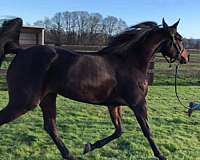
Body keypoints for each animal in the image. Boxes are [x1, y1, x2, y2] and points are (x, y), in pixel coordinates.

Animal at [0, 18, 189, 159]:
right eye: (179, 38)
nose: (185, 58)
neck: (129, 62)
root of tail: (20, 52)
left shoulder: (114, 104)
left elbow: (119, 131)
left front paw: (89, 146)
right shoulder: (138, 104)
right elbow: (147, 131)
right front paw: (161, 155)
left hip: (48, 97)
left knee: (50, 127)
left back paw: (70, 155)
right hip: (25, 102)